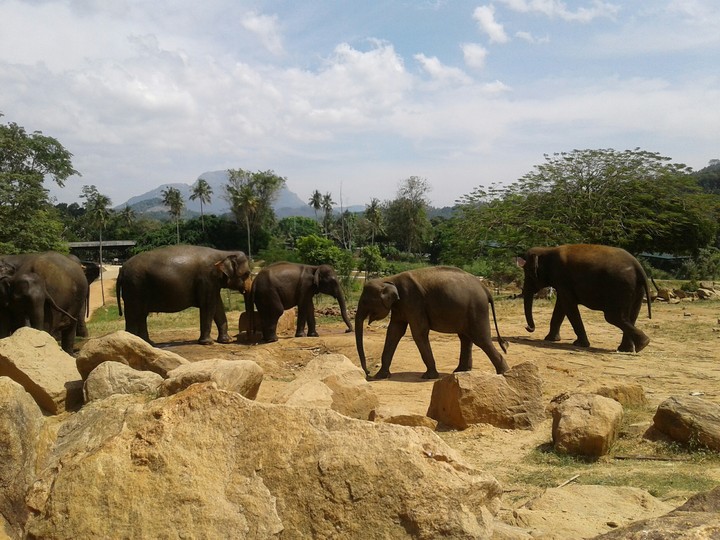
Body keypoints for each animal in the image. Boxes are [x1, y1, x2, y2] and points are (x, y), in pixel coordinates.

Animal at [116, 245, 251, 345]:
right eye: (247, 274)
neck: (224, 253)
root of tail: (121, 270)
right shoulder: (207, 279)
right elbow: (208, 306)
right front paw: (207, 343)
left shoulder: (213, 284)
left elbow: (218, 306)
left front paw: (226, 341)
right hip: (135, 286)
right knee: (134, 314)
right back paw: (132, 342)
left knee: (141, 315)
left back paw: (148, 343)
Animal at [355, 266, 509, 380]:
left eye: (365, 302)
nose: (367, 372)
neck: (389, 279)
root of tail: (485, 289)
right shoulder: (400, 306)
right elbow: (394, 331)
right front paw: (380, 376)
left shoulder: (413, 301)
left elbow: (419, 332)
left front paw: (429, 377)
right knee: (466, 338)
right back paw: (460, 371)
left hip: (477, 309)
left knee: (480, 339)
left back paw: (504, 373)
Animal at [519, 244, 652, 352]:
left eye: (529, 272)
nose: (528, 327)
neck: (547, 250)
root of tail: (638, 267)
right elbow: (561, 306)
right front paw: (551, 339)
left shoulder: (562, 278)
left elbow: (568, 305)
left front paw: (580, 344)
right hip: (636, 289)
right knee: (631, 316)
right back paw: (630, 348)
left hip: (620, 287)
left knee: (612, 317)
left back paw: (642, 344)